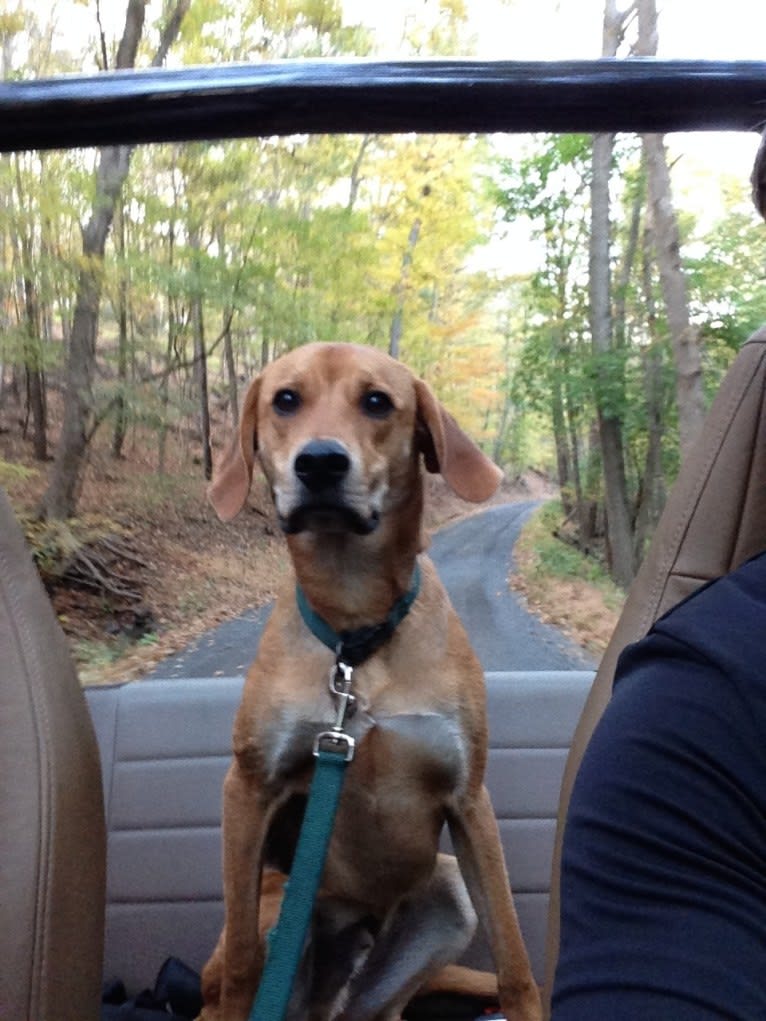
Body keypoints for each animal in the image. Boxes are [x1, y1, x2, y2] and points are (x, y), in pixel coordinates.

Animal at [201, 343, 543, 1021]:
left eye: (378, 402)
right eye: (285, 399)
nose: (320, 462)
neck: (356, 634)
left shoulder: (470, 799)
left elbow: (514, 960)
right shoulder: (247, 788)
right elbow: (246, 964)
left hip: (443, 893)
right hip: (284, 916)